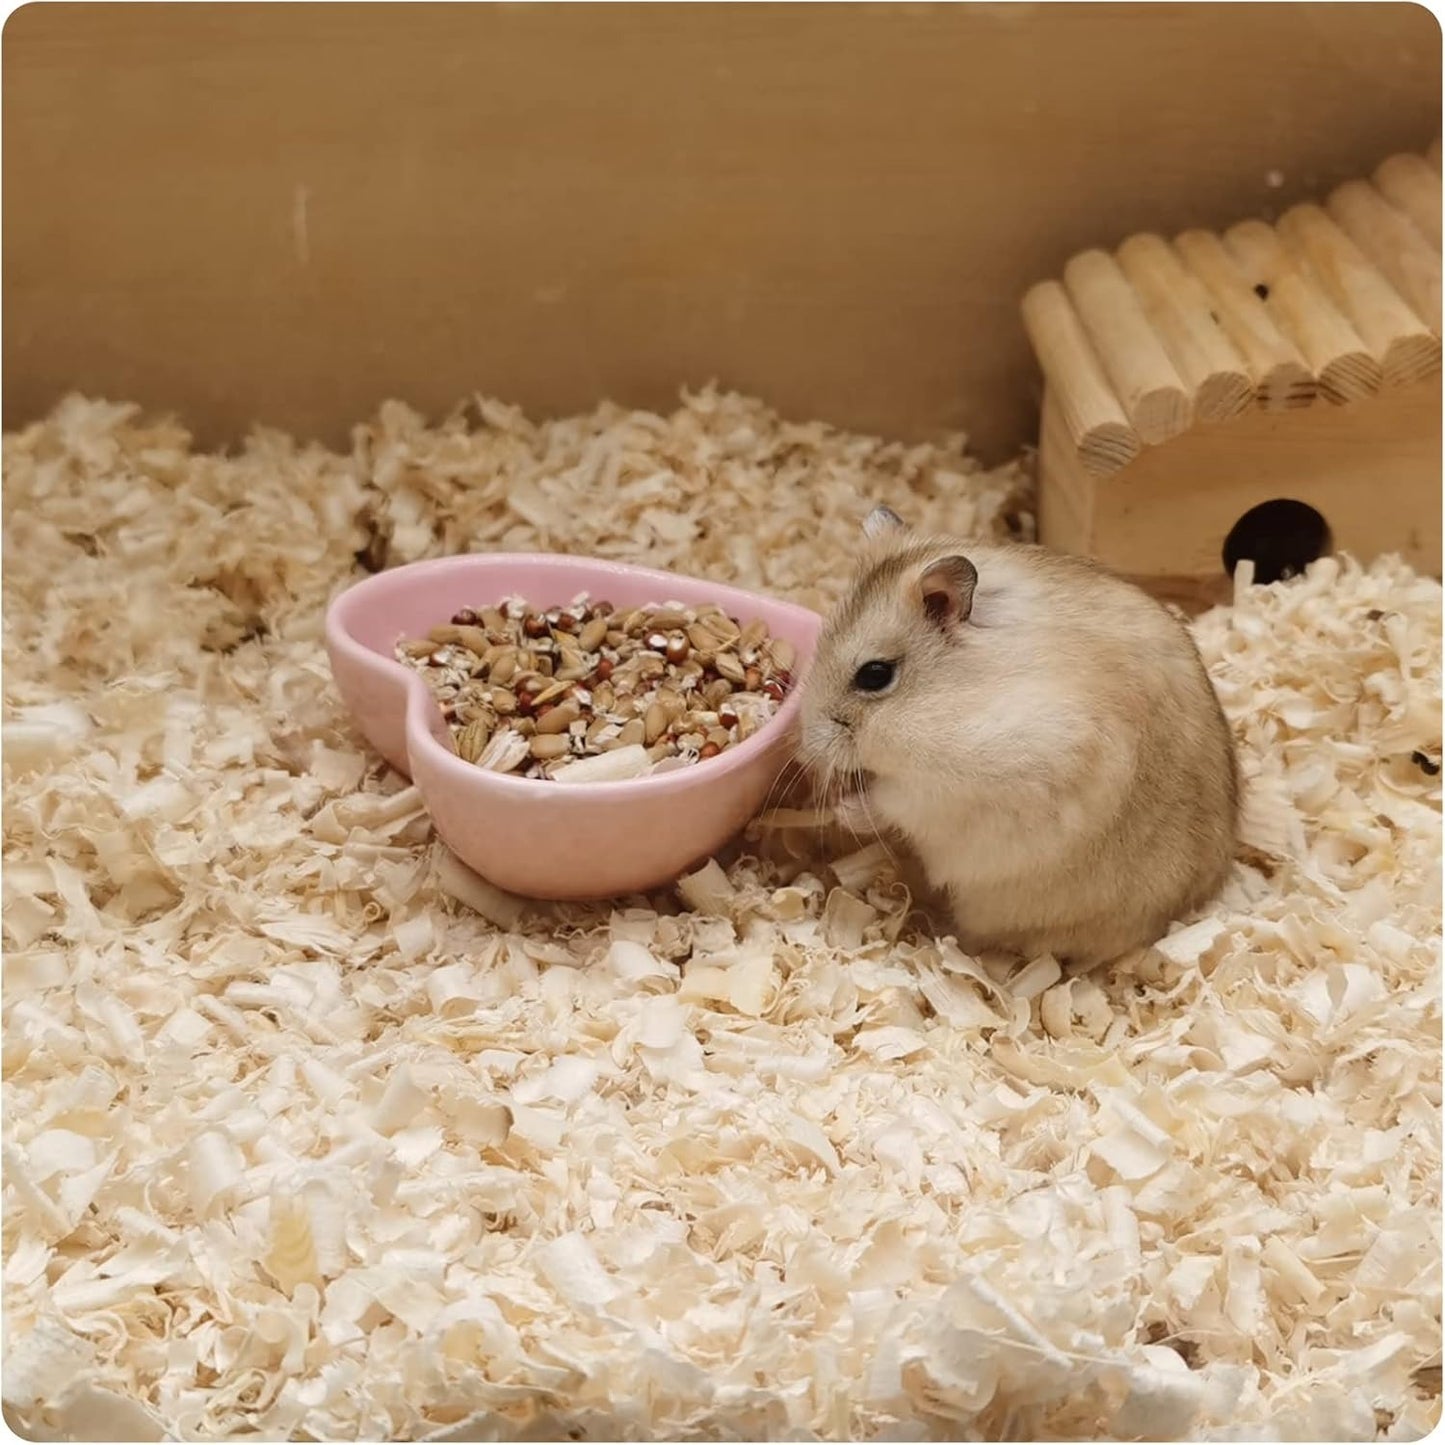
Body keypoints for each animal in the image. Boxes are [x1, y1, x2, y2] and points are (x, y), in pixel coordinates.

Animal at [797, 506, 1239, 967]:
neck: (950, 694)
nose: (806, 747)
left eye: (875, 675)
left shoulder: (975, 780)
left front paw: (843, 809)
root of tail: (1186, 910)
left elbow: (893, 802)